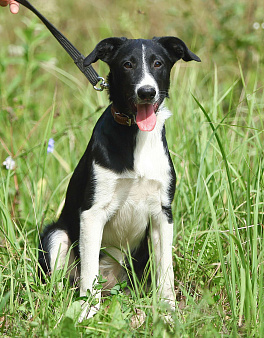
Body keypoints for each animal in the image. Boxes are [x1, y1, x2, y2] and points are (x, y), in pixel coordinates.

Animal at [38, 35, 200, 320]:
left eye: (158, 63)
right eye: (127, 64)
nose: (146, 92)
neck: (136, 137)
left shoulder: (163, 214)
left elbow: (166, 272)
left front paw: (168, 313)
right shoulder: (91, 213)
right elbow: (89, 273)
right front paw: (87, 314)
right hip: (57, 236)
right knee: (64, 280)